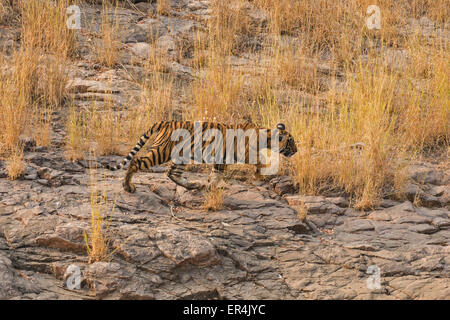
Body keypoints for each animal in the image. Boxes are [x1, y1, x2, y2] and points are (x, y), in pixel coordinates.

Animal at [103, 121, 298, 194]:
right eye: (291, 142)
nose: (296, 150)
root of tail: (164, 122)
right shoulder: (239, 154)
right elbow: (260, 160)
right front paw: (259, 174)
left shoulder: (221, 159)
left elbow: (215, 175)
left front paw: (209, 186)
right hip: (161, 152)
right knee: (137, 161)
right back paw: (128, 186)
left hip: (181, 156)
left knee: (171, 173)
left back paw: (193, 185)